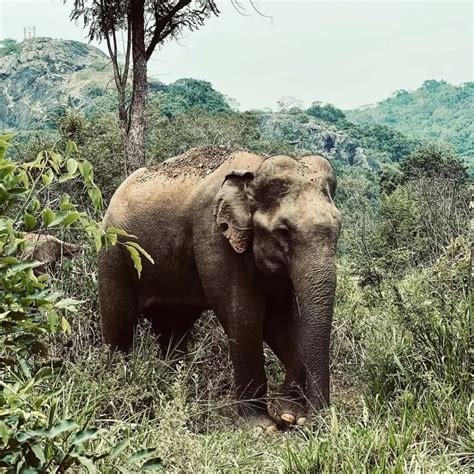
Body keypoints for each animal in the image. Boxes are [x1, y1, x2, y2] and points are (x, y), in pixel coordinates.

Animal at [99, 146, 340, 432]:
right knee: (118, 324)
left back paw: (175, 393)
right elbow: (245, 315)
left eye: (338, 227)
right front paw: (262, 427)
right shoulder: (212, 234)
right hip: (114, 253)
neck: (254, 169)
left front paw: (290, 415)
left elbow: (278, 319)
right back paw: (118, 388)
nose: (317, 422)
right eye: (283, 231)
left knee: (172, 331)